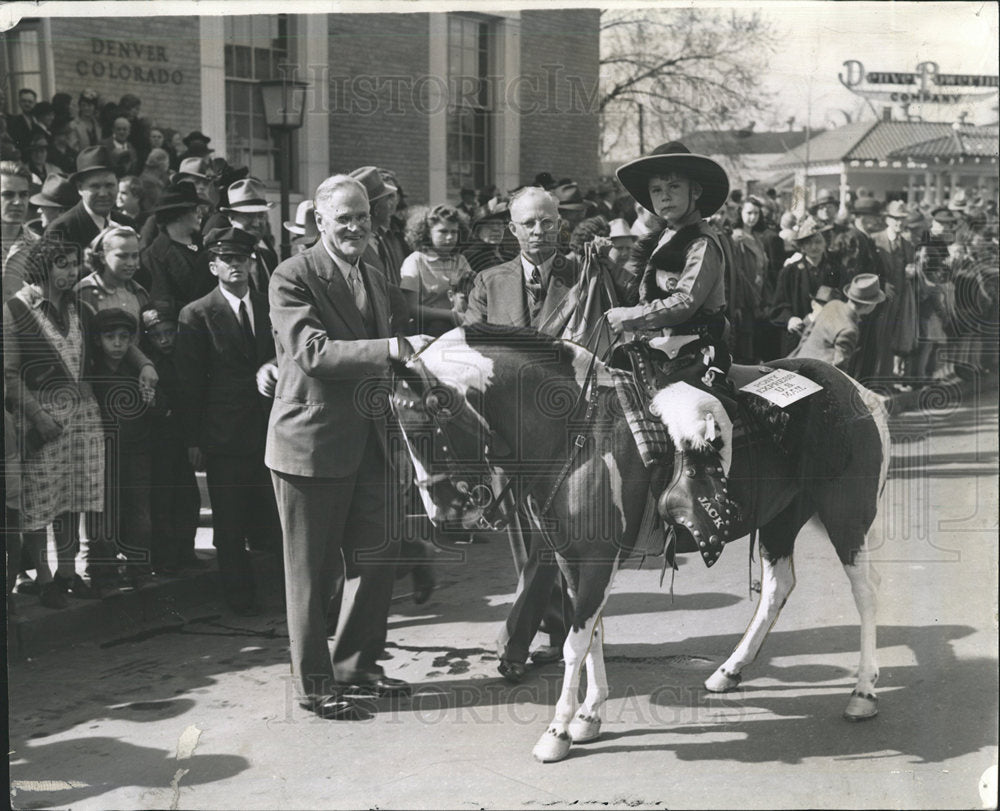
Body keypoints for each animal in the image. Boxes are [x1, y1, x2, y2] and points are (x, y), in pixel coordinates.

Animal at [390, 324, 892, 760]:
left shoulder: (595, 560)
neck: (578, 432)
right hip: (779, 519)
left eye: (426, 426)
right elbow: (591, 632)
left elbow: (575, 643)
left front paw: (557, 731)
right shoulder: (572, 559)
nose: (447, 518)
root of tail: (854, 388)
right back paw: (729, 670)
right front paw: (588, 716)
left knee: (866, 594)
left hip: (846, 517)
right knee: (777, 587)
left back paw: (864, 692)